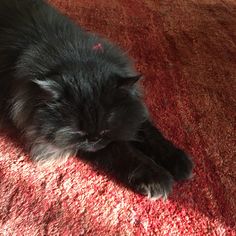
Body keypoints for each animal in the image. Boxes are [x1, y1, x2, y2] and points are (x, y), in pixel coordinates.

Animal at [0, 0, 192, 199]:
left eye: (105, 130)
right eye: (79, 132)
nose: (93, 140)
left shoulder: (133, 112)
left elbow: (151, 134)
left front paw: (179, 162)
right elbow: (123, 150)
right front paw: (157, 179)